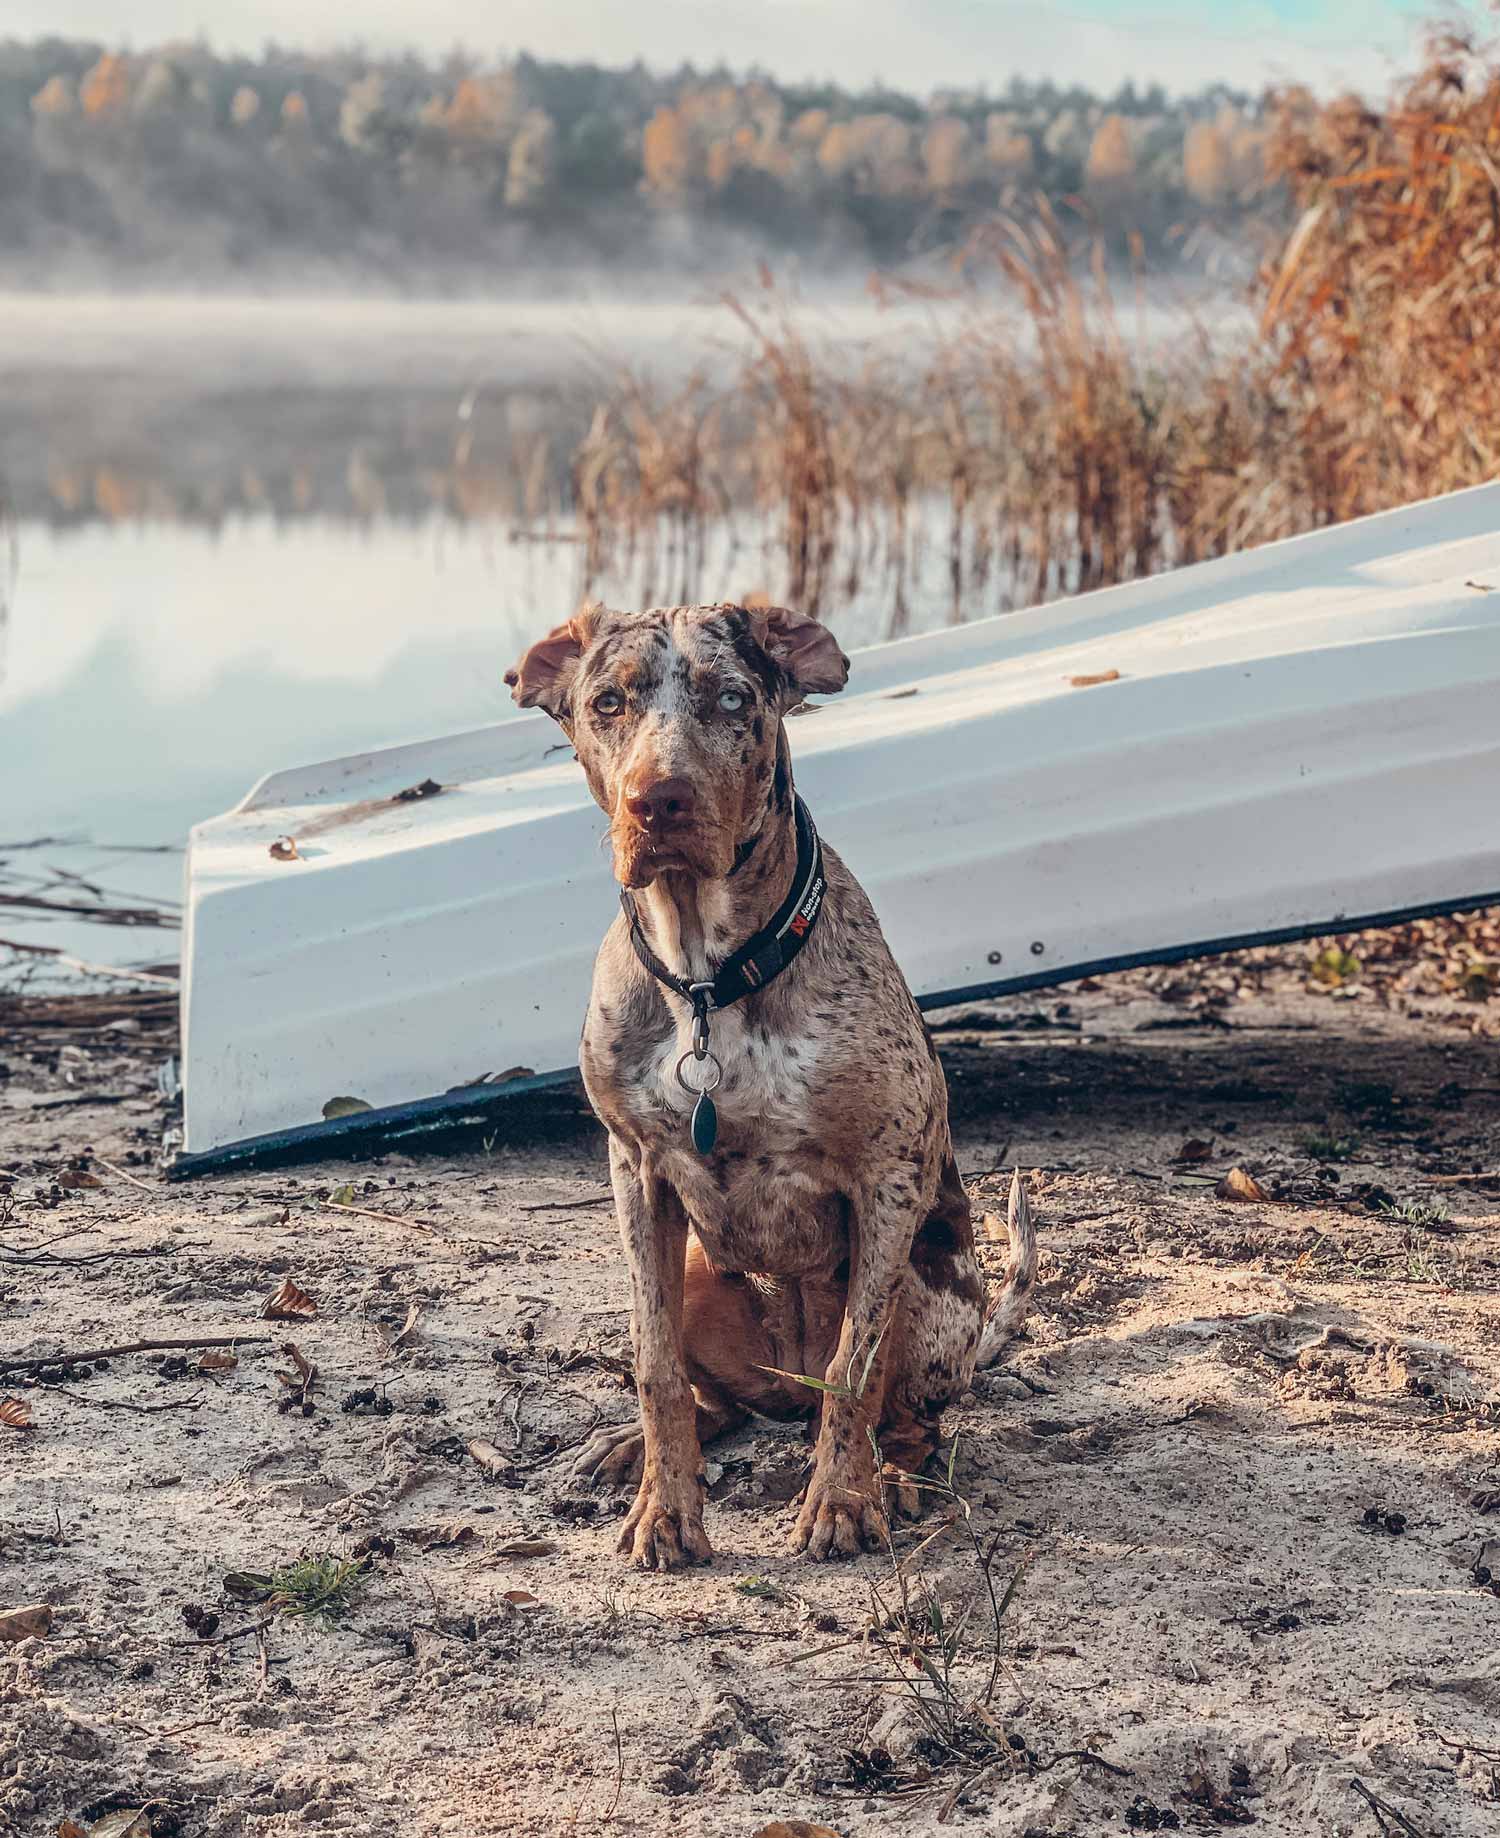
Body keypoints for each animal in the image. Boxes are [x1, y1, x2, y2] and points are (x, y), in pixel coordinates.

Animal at [503, 599, 1029, 1565]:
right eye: (606, 702)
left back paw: (894, 1478)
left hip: (932, 1296)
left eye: (732, 698)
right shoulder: (635, 1172)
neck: (710, 980)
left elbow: (855, 1366)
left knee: (901, 1417)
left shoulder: (886, 1182)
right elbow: (654, 1364)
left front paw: (841, 1503)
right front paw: (665, 1507)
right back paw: (635, 1446)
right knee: (720, 1400)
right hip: (702, 1272)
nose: (659, 800)